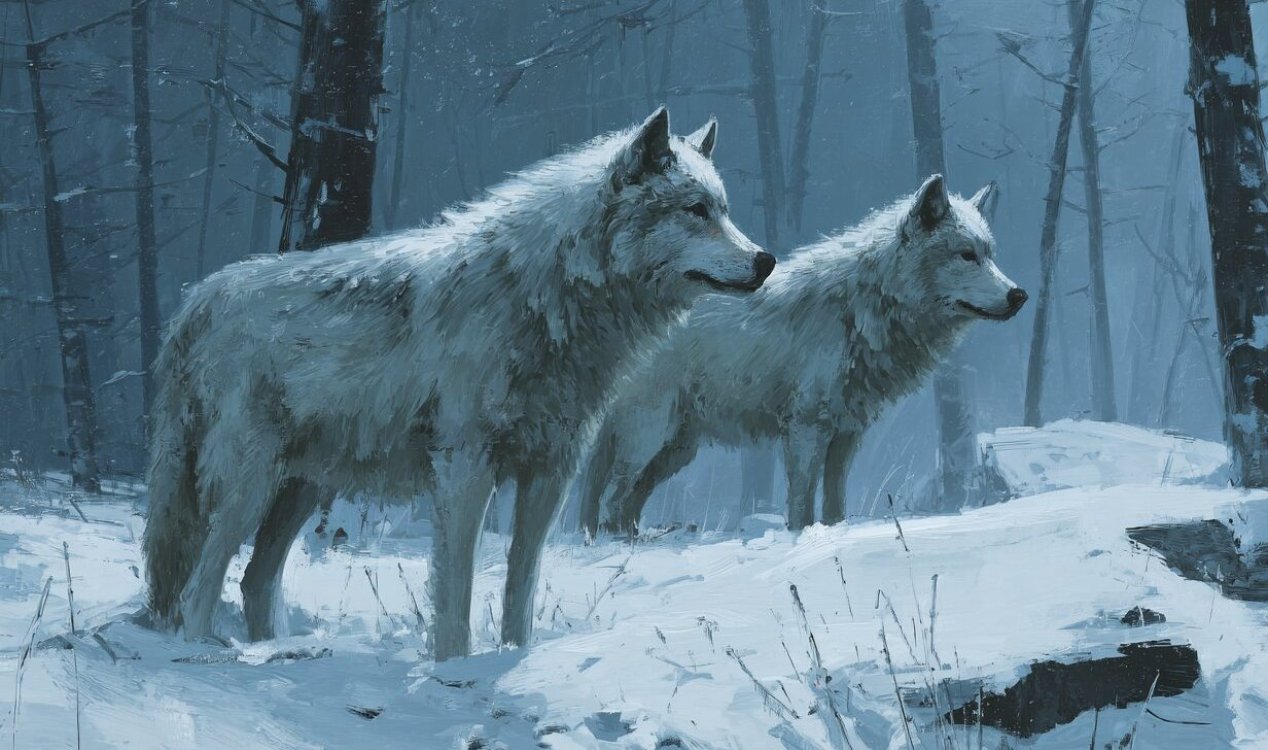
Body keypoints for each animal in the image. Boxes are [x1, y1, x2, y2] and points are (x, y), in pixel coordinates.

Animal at [142, 107, 774, 661]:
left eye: (724, 210)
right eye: (695, 210)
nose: (765, 259)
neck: (543, 299)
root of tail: (198, 301)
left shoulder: (551, 471)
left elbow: (521, 581)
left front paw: (516, 658)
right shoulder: (466, 466)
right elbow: (457, 589)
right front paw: (453, 669)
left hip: (299, 489)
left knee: (252, 579)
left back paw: (274, 651)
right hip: (248, 485)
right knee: (200, 582)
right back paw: (205, 654)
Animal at [577, 174, 1026, 535]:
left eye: (990, 254)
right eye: (966, 255)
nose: (1019, 295)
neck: (860, 311)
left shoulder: (847, 435)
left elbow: (834, 504)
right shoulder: (806, 429)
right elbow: (801, 505)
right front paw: (801, 541)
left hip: (675, 450)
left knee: (626, 502)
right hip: (648, 436)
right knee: (613, 498)